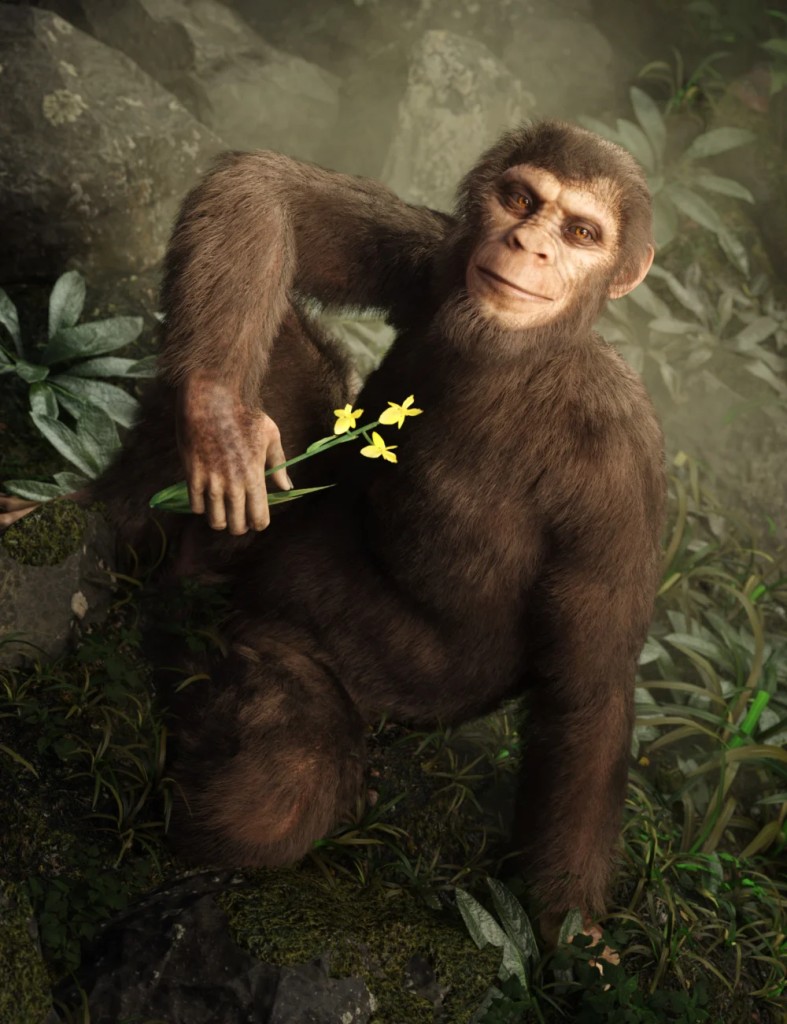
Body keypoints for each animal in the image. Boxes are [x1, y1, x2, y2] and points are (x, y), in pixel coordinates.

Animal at [0, 122, 665, 945]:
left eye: (581, 234)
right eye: (520, 199)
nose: (529, 244)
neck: (521, 358)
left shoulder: (622, 481)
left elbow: (589, 697)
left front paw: (569, 934)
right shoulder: (436, 259)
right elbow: (271, 192)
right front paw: (218, 418)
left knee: (277, 789)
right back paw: (117, 499)